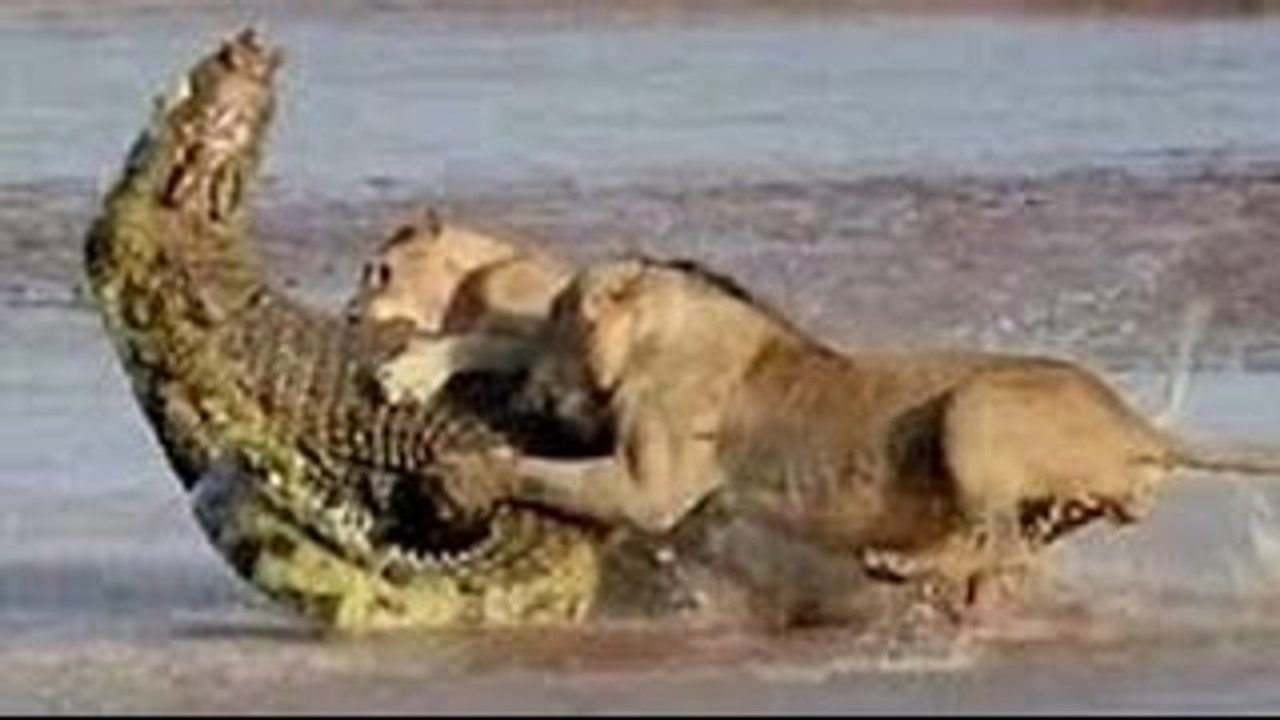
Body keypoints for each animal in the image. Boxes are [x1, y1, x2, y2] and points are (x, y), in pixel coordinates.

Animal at [388, 256, 1280, 612]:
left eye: (566, 315)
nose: (536, 393)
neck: (664, 327)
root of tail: (1137, 423)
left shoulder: (649, 490)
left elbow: (536, 467)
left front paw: (466, 472)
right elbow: (500, 339)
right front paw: (418, 368)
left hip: (972, 409)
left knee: (998, 545)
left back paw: (904, 567)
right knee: (1006, 548)